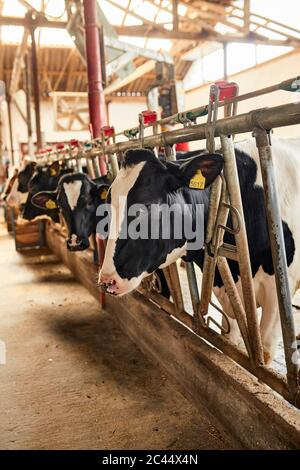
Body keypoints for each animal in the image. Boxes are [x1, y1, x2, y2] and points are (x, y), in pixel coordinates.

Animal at [96, 138, 300, 366]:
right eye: (108, 204)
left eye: (146, 207)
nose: (107, 280)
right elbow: (231, 340)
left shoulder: (277, 295)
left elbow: (263, 352)